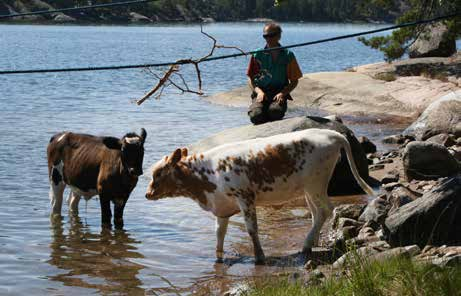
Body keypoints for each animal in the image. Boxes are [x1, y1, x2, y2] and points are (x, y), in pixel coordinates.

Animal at [146, 128, 372, 264]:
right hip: (309, 189)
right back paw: (312, 242)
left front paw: (259, 257)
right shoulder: (222, 205)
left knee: (326, 209)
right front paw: (218, 259)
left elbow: (252, 229)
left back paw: (307, 244)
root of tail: (332, 133)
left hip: (315, 184)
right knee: (316, 213)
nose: (148, 194)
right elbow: (219, 233)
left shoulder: (245, 197)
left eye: (158, 173)